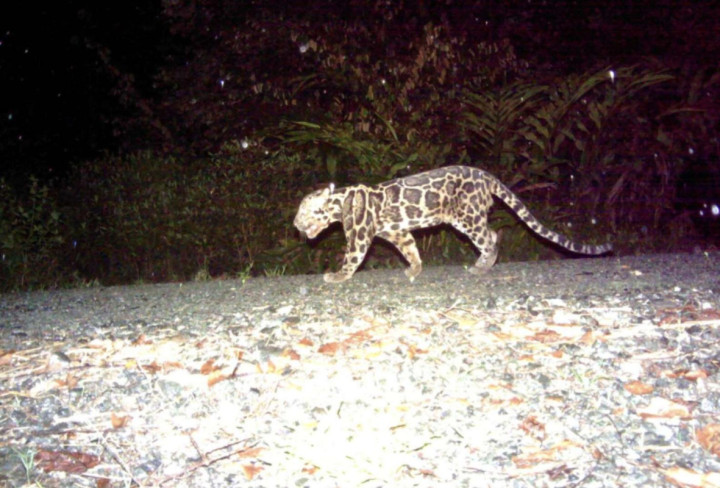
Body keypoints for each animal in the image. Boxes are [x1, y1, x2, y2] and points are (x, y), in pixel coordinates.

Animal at [294, 165, 612, 283]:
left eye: (303, 212)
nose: (296, 224)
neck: (339, 203)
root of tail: (486, 176)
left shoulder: (359, 234)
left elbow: (353, 256)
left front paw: (337, 275)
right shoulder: (397, 232)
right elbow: (410, 248)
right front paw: (415, 269)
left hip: (467, 216)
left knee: (490, 237)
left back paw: (482, 266)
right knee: (492, 234)